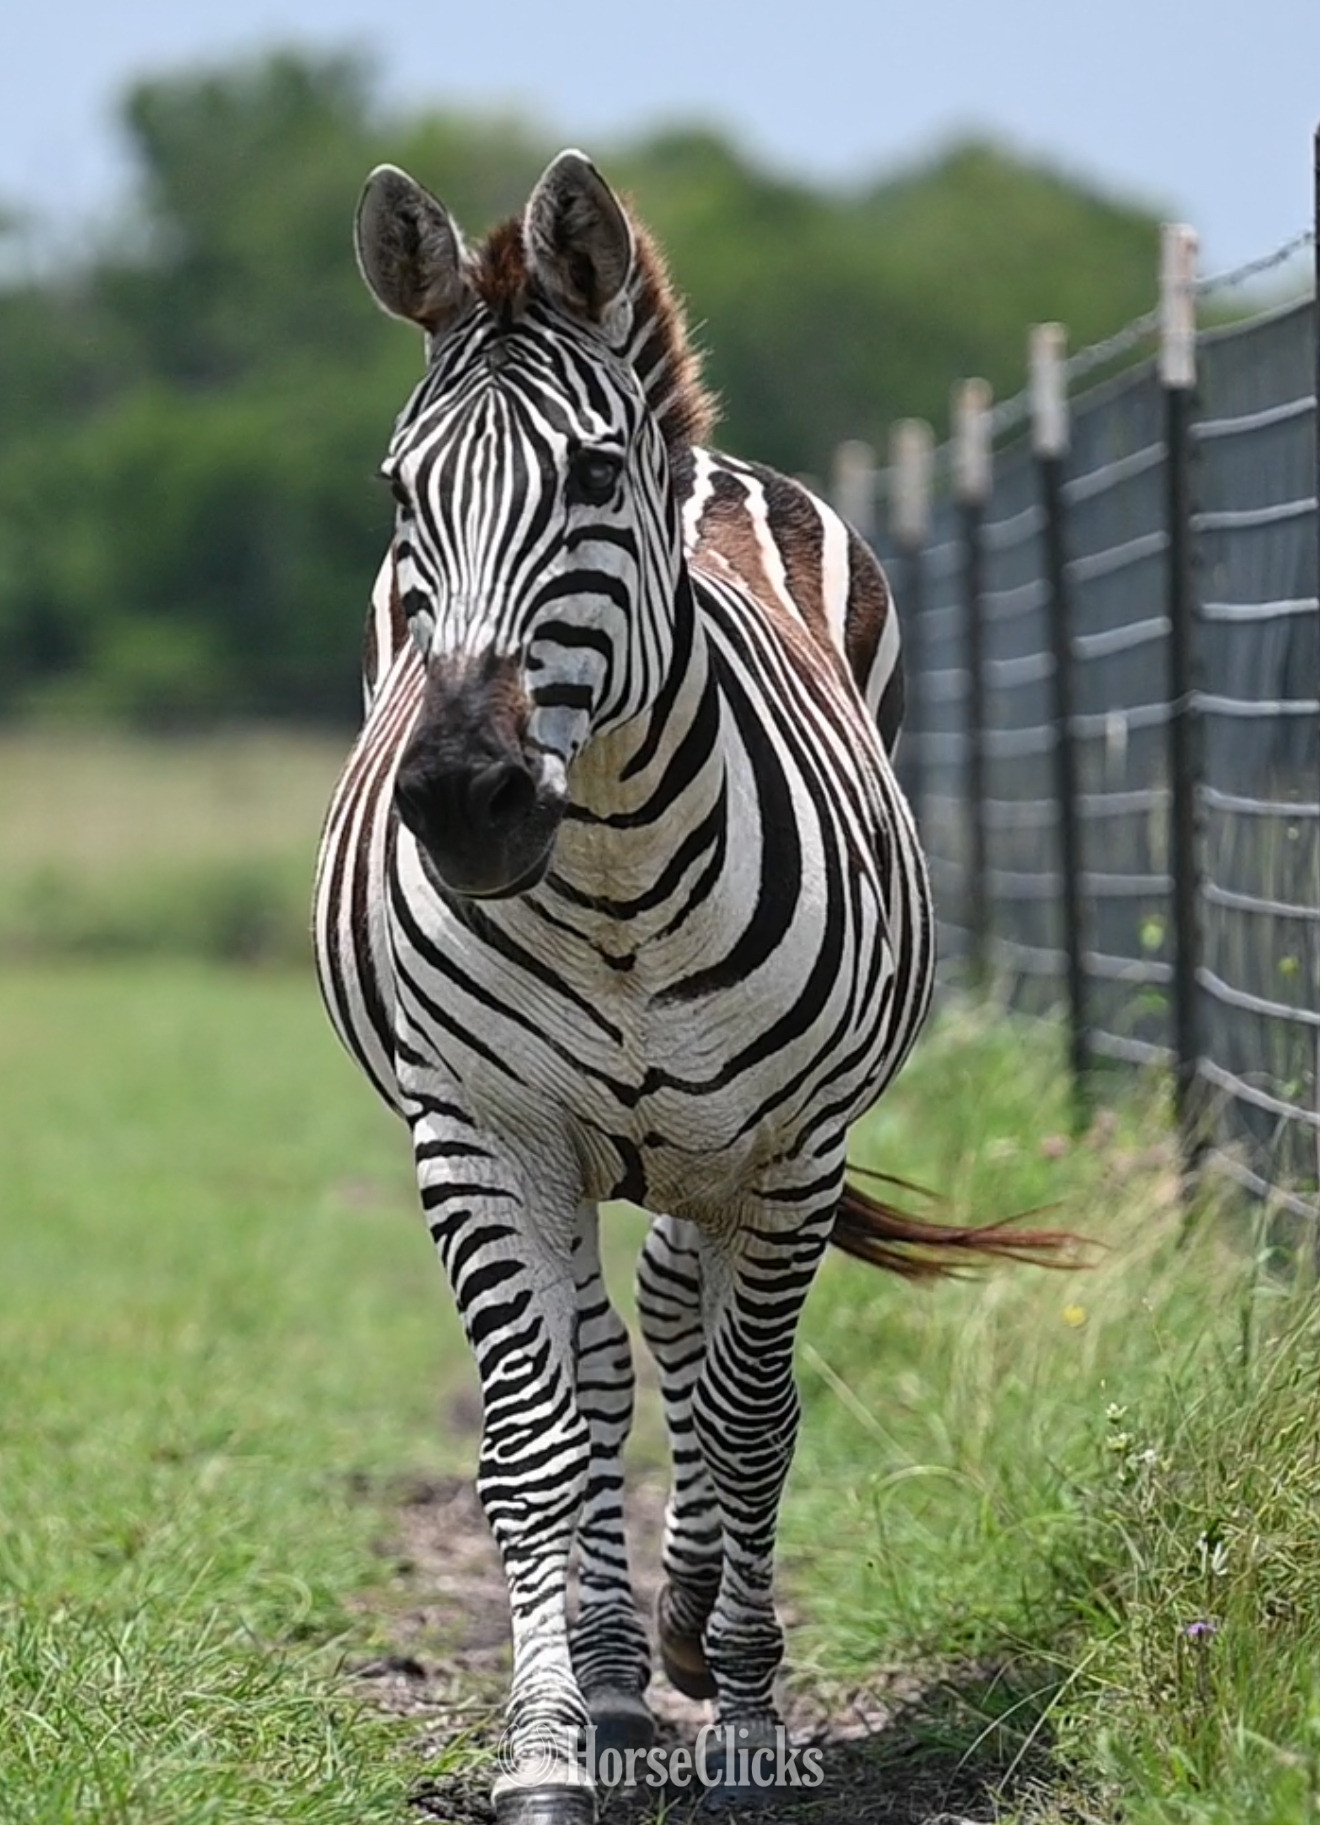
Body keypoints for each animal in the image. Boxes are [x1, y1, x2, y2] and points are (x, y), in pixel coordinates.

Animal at [314, 150, 1041, 1821]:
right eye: (399, 495)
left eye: (589, 478)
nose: (461, 805)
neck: (612, 877)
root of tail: (707, 463)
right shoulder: (482, 1133)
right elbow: (536, 1443)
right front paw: (545, 1743)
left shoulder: (794, 1148)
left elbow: (755, 1417)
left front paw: (753, 1713)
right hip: (589, 1149)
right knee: (601, 1365)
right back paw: (611, 1675)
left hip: (725, 1149)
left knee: (684, 1337)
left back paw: (690, 1634)